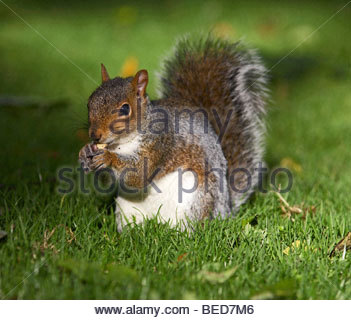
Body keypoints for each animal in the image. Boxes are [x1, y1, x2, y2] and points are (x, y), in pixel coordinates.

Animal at [79, 35, 266, 230]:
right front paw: (84, 153)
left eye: (124, 109)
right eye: (89, 103)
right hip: (126, 206)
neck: (122, 144)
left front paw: (107, 158)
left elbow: (139, 174)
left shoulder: (160, 142)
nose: (94, 135)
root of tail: (225, 209)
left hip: (196, 200)